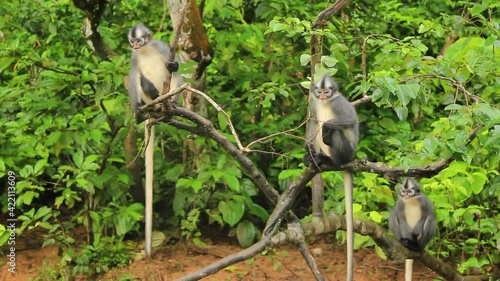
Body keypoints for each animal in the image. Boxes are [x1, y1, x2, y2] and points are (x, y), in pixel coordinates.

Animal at [302, 74, 358, 280]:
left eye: (328, 91)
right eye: (319, 91)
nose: (323, 95)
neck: (326, 102)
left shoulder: (339, 103)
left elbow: (349, 120)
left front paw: (328, 127)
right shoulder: (314, 104)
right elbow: (312, 123)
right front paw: (307, 152)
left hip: (346, 152)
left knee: (332, 132)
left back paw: (330, 159)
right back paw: (314, 158)